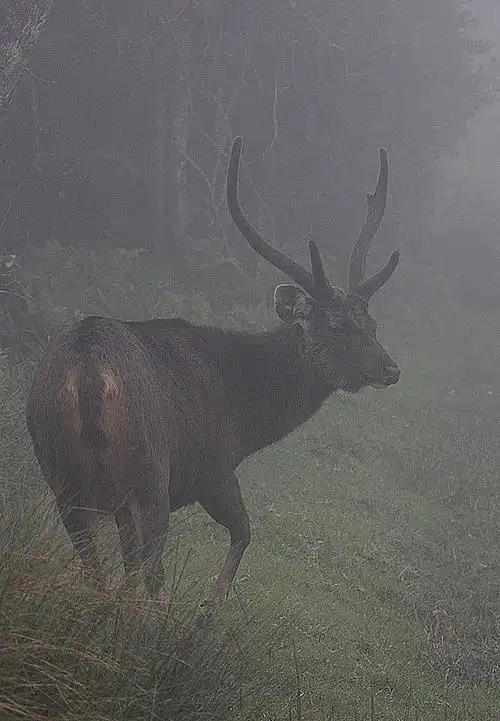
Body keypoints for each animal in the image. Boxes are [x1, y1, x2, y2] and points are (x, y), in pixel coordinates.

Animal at [26, 137, 401, 609]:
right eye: (335, 326)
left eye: (372, 324)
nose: (391, 368)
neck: (246, 417)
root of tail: (87, 373)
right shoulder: (214, 466)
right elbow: (244, 532)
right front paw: (209, 608)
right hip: (149, 475)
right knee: (147, 572)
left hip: (61, 476)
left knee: (102, 570)